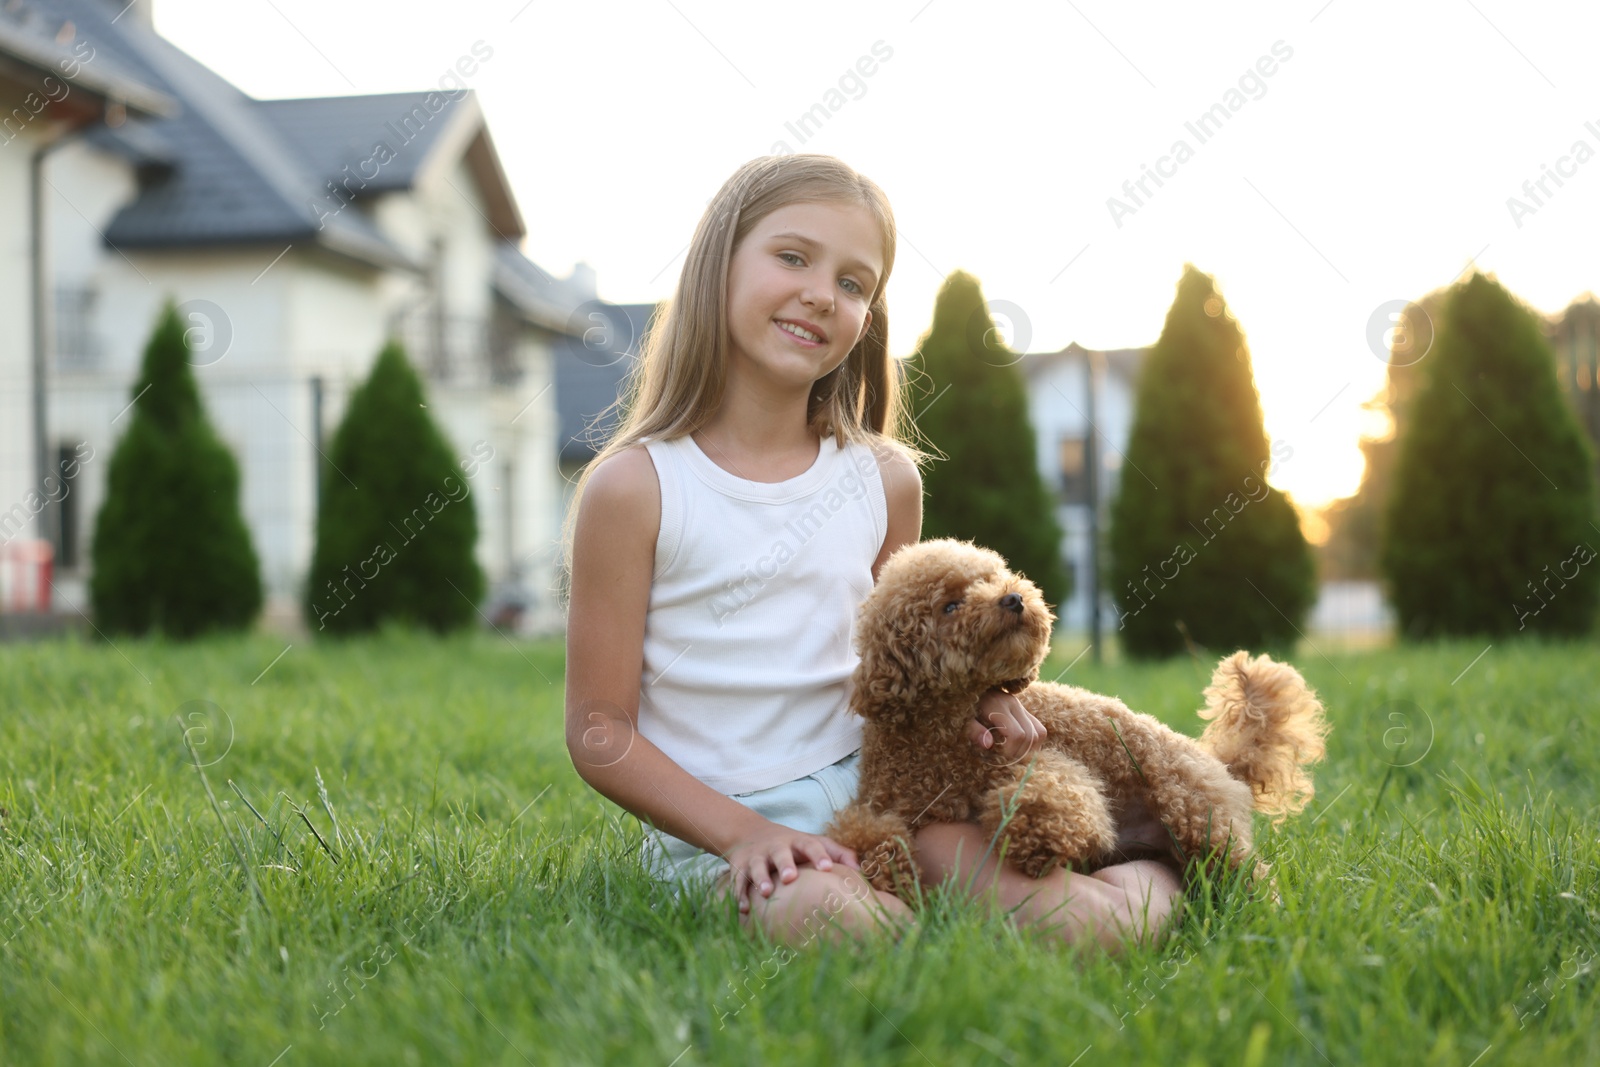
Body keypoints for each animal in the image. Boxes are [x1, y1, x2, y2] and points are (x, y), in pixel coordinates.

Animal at [819, 537, 1331, 895]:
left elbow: (1051, 797)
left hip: (1197, 817)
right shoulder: (890, 803)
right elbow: (861, 833)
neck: (942, 734)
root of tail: (1217, 764)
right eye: (949, 605)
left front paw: (1036, 840)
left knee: (1246, 875)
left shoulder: (1041, 761)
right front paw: (889, 868)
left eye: (994, 577)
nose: (1013, 599)